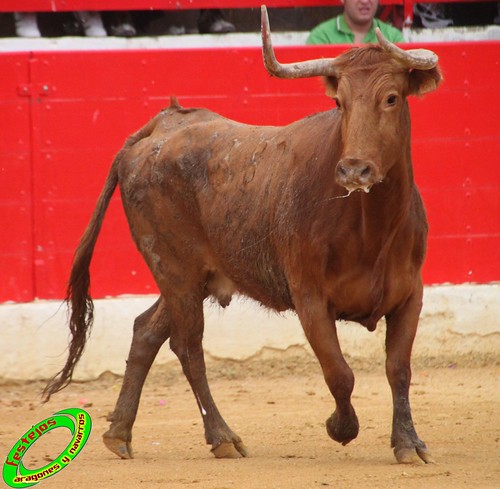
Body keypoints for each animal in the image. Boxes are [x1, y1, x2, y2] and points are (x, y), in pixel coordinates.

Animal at [43, 6, 442, 466]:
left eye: (391, 98)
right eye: (338, 102)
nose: (354, 170)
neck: (371, 226)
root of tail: (159, 127)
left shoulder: (410, 295)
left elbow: (399, 369)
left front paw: (409, 443)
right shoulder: (309, 299)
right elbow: (339, 373)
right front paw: (340, 428)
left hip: (191, 277)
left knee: (146, 331)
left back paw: (119, 433)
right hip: (175, 272)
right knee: (188, 346)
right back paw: (222, 437)